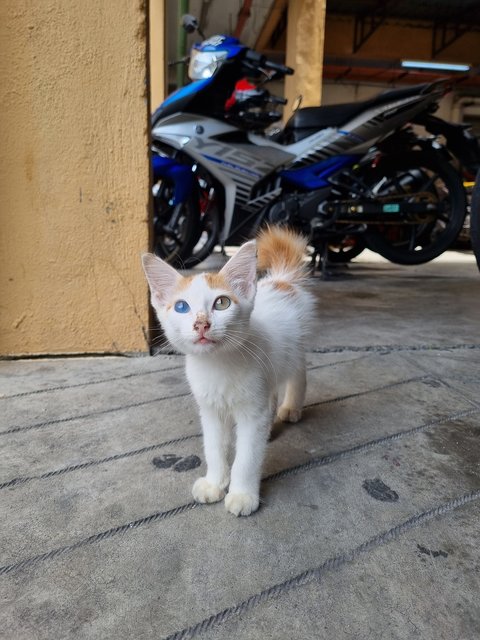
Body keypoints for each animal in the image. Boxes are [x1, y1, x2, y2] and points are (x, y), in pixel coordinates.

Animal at [141, 225, 316, 516]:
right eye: (181, 307)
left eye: (222, 303)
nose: (201, 324)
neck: (217, 365)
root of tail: (281, 280)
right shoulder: (210, 410)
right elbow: (214, 448)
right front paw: (214, 483)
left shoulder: (252, 414)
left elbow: (247, 458)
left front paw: (242, 494)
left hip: (295, 350)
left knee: (298, 374)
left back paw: (291, 407)